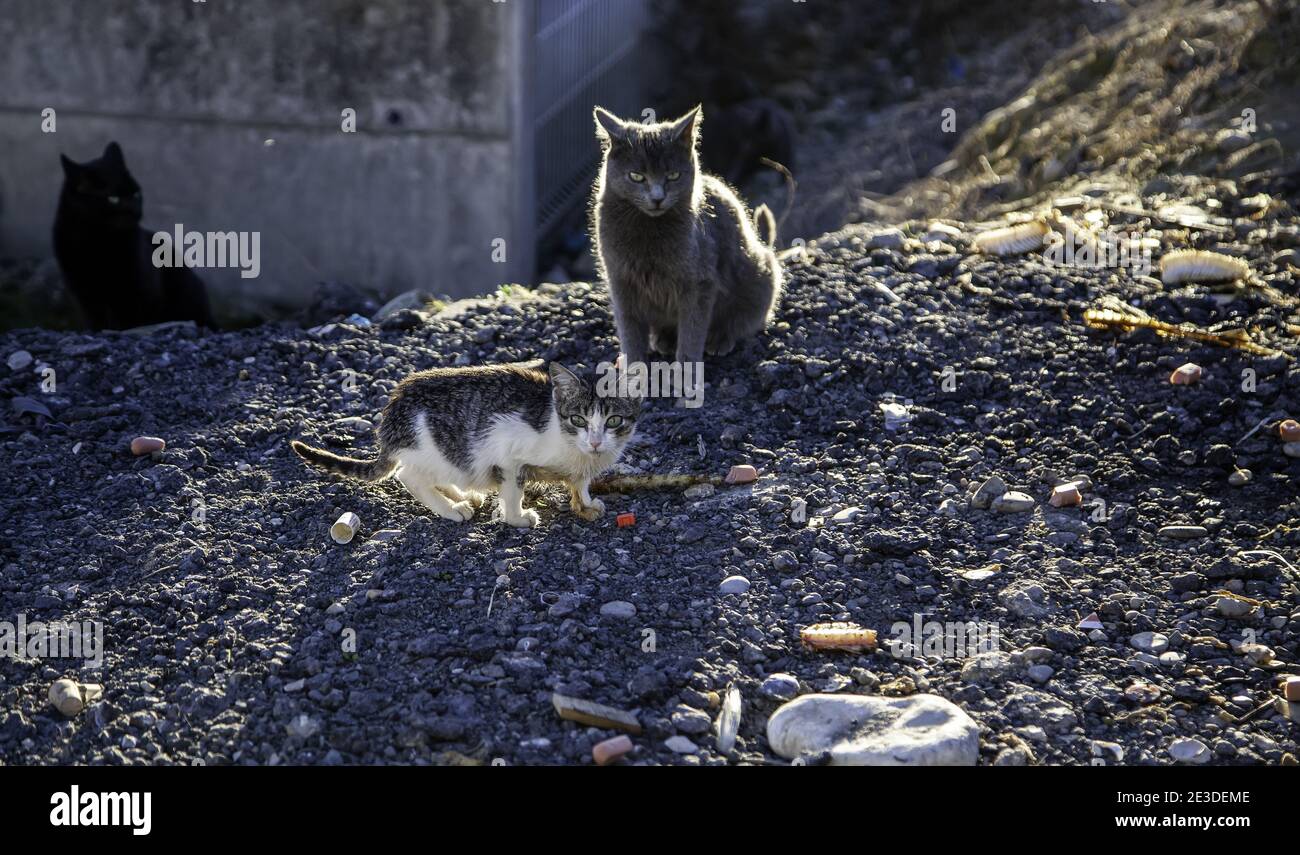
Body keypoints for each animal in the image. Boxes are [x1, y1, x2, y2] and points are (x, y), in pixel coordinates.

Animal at [53, 141, 215, 327]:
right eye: (113, 199)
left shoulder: (136, 288)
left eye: (136, 194)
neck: (97, 239)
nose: (135, 210)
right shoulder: (85, 292)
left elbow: (131, 317)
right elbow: (98, 319)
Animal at [292, 358, 642, 522]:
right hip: (438, 449)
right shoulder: (508, 453)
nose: (595, 442)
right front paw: (517, 518)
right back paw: (451, 508)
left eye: (613, 421)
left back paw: (462, 495)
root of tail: (392, 411)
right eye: (578, 420)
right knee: (409, 476)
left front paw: (586, 502)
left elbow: (580, 483)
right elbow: (513, 490)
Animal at [592, 105, 780, 382]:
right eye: (636, 176)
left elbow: (692, 330)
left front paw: (685, 373)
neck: (648, 230)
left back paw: (719, 340)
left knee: (743, 320)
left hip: (758, 275)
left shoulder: (699, 283)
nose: (657, 198)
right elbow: (629, 329)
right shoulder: (621, 280)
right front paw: (634, 371)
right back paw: (663, 339)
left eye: (673, 175)